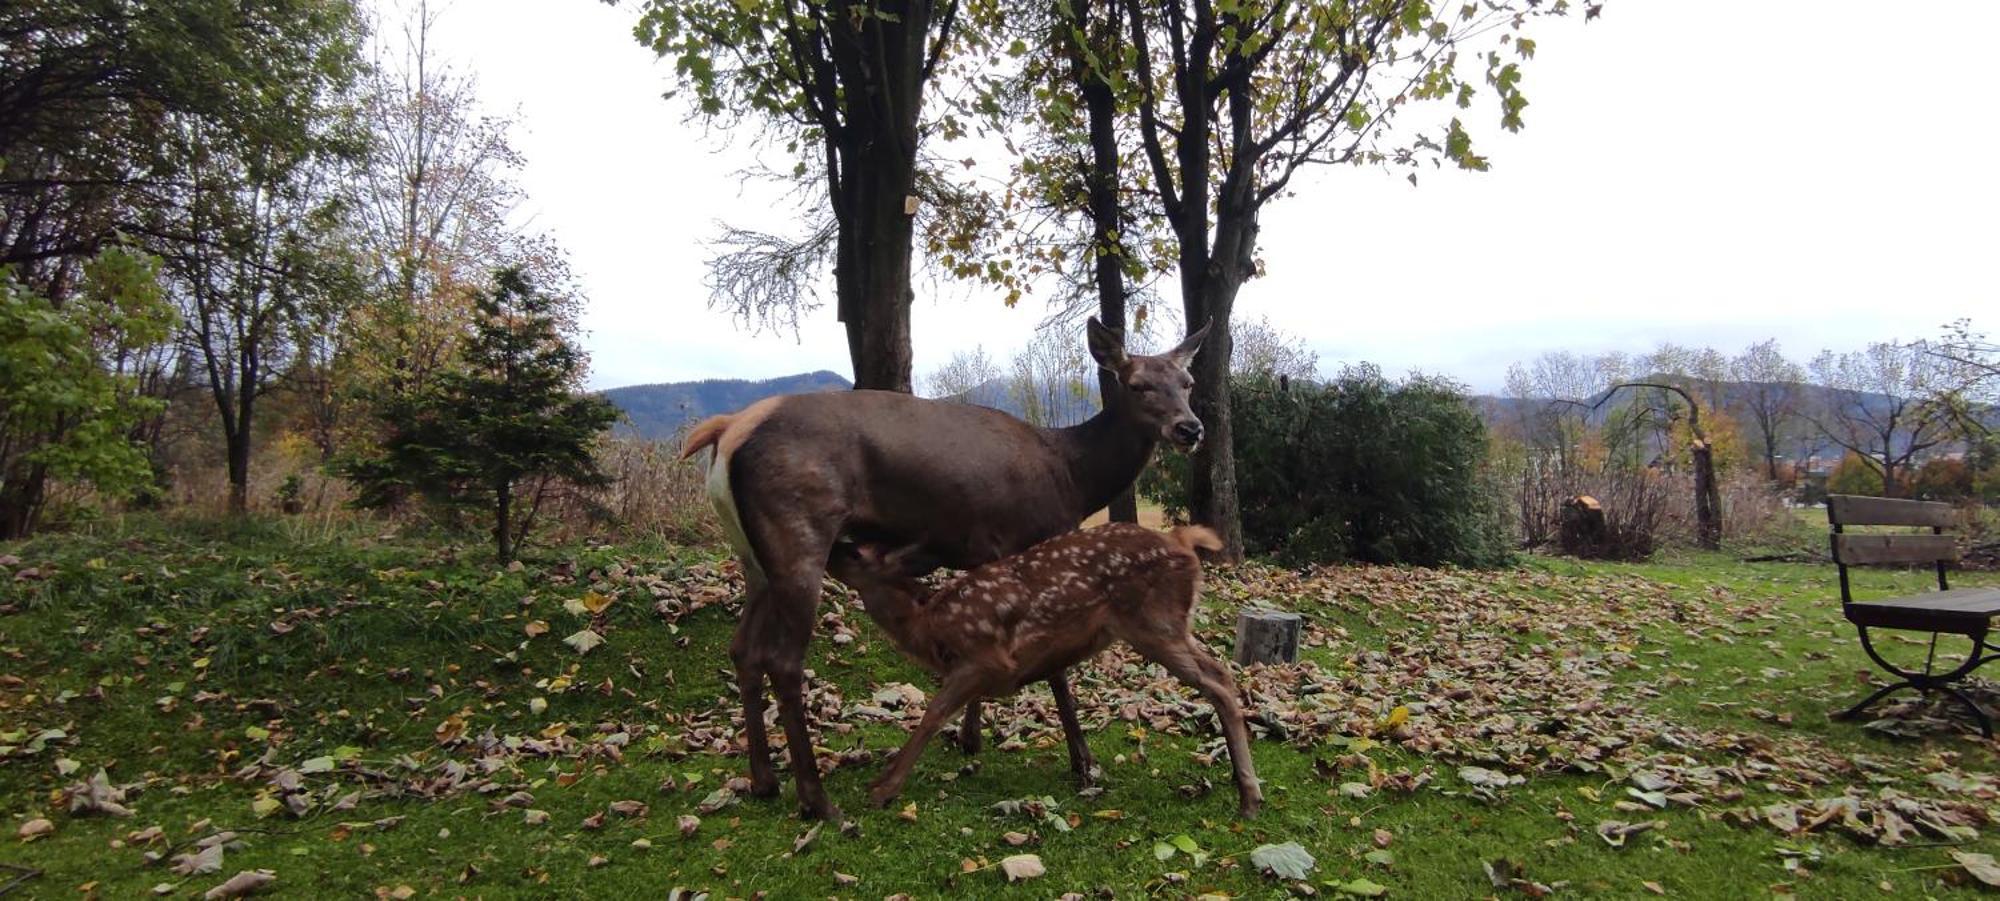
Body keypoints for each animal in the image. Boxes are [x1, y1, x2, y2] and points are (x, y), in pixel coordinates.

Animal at [680, 320, 1208, 820]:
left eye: (1187, 381)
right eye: (1138, 384)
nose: (1191, 429)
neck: (1073, 479)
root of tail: (727, 431)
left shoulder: (982, 552)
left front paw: (970, 737)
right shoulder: (1033, 540)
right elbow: (1057, 669)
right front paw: (1082, 761)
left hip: (752, 558)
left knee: (743, 649)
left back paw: (764, 782)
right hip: (799, 532)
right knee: (785, 661)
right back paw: (817, 800)